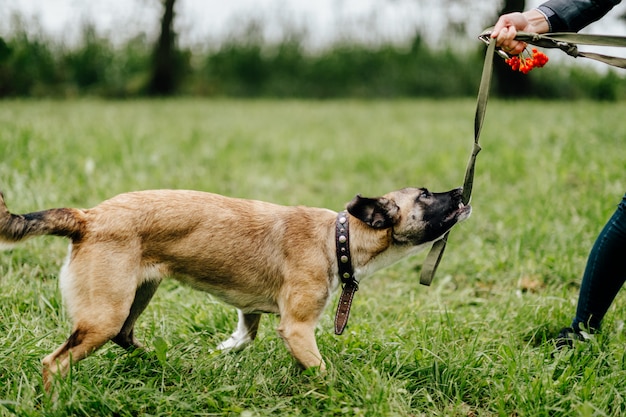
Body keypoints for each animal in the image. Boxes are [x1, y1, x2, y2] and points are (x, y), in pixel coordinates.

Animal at [0, 187, 468, 388]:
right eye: (425, 196)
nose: (462, 190)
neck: (339, 237)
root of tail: (88, 217)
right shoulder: (297, 328)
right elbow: (322, 368)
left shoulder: (251, 313)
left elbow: (242, 338)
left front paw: (219, 356)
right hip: (105, 313)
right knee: (54, 363)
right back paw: (57, 399)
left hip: (135, 296)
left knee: (126, 338)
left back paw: (166, 366)